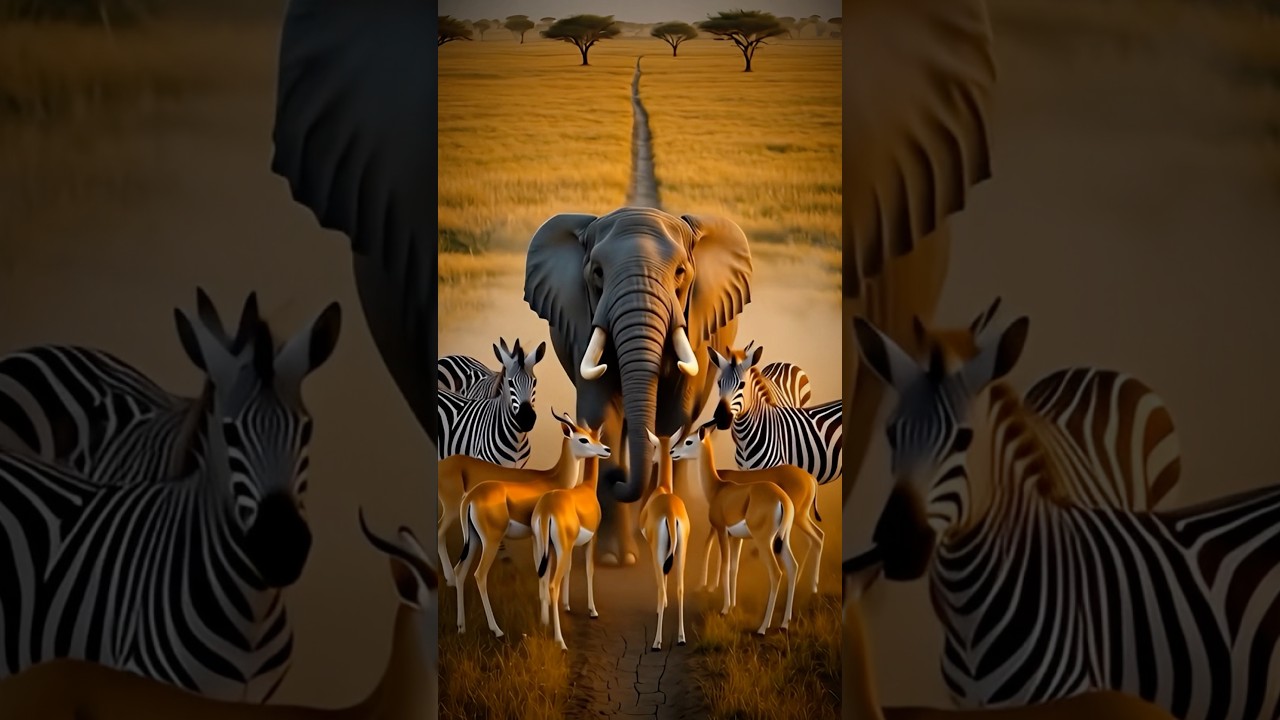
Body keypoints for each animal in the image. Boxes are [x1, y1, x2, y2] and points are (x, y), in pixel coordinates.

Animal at [524, 208, 754, 566]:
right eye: (597, 273)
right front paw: (613, 557)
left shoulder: (695, 325)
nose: (618, 479)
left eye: (680, 272)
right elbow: (602, 413)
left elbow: (674, 416)